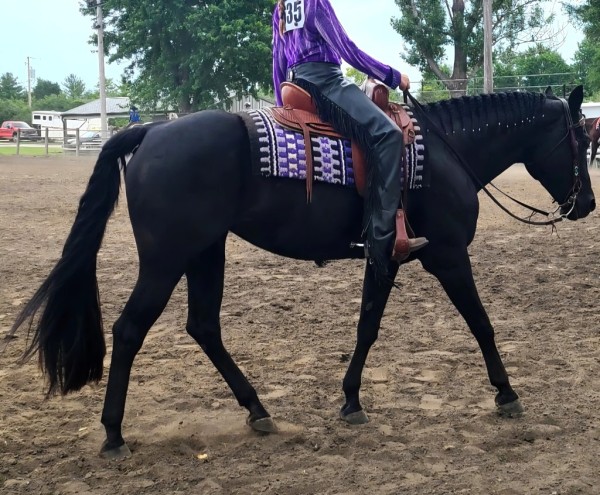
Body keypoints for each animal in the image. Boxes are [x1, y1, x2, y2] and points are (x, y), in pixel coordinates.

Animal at [8, 85, 594, 459]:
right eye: (582, 139)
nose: (586, 204)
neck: (443, 153)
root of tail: (152, 132)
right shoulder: (449, 256)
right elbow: (481, 323)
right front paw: (507, 393)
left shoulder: (386, 258)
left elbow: (367, 327)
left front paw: (351, 400)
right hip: (167, 259)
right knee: (131, 329)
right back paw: (113, 434)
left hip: (206, 252)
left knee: (203, 326)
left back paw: (257, 409)